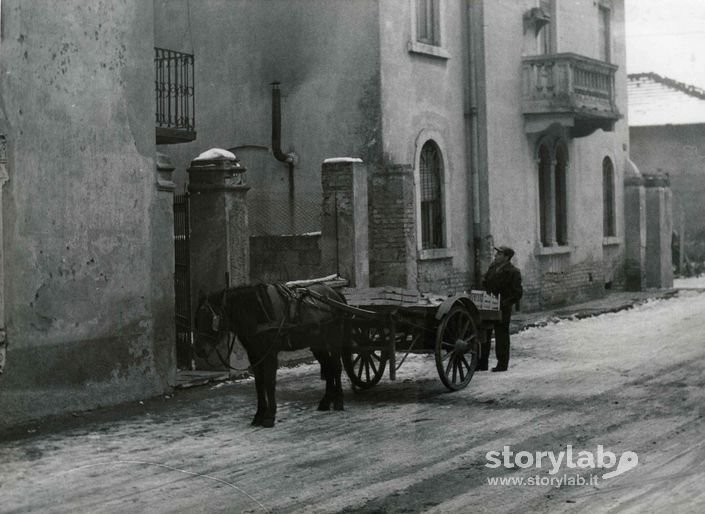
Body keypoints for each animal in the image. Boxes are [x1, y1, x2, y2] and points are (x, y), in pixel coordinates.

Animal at [194, 282, 348, 426]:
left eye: (211, 319)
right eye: (197, 318)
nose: (200, 350)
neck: (258, 312)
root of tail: (334, 293)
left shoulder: (270, 354)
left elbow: (269, 382)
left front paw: (269, 416)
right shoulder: (254, 355)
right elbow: (259, 383)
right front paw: (259, 415)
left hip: (334, 339)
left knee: (336, 367)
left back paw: (339, 402)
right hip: (317, 344)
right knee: (328, 368)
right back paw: (326, 402)